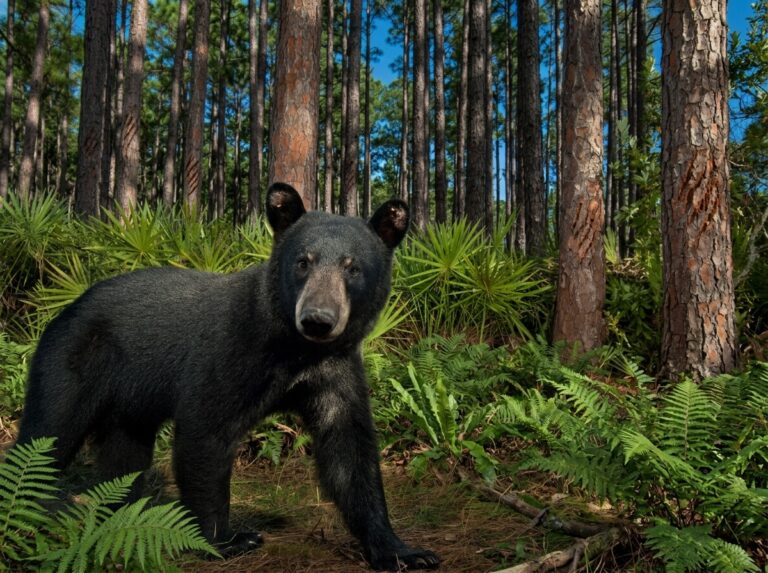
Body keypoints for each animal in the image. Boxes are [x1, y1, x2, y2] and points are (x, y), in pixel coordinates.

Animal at [16, 182, 440, 571]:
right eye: (303, 261)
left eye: (352, 267)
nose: (318, 319)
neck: (294, 349)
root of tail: (67, 308)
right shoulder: (228, 350)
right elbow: (206, 430)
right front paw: (226, 538)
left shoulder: (335, 371)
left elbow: (349, 452)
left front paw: (402, 550)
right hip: (70, 362)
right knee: (47, 433)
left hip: (130, 406)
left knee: (124, 457)